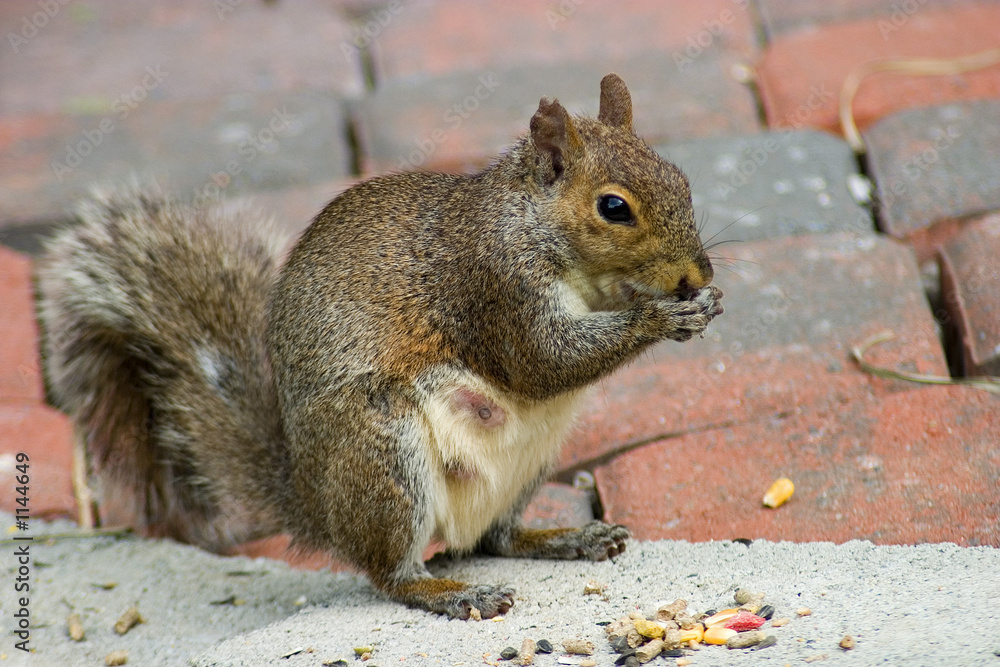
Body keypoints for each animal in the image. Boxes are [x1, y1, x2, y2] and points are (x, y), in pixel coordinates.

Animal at [36, 74, 723, 619]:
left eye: (681, 179)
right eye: (614, 208)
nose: (697, 274)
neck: (531, 224)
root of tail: (317, 505)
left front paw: (701, 303)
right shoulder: (495, 287)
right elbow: (543, 361)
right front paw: (662, 315)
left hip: (531, 459)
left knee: (493, 540)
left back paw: (565, 539)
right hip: (385, 455)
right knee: (393, 574)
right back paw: (453, 594)